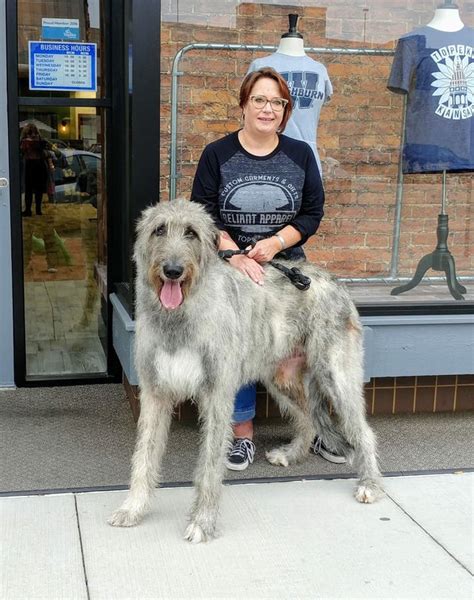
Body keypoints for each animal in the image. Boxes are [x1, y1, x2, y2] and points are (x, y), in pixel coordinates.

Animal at [109, 199, 384, 540]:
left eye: (191, 233)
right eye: (159, 230)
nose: (172, 270)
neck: (180, 315)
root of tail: (336, 282)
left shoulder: (217, 395)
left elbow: (210, 463)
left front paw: (202, 521)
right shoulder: (154, 393)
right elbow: (144, 455)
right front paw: (133, 508)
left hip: (336, 374)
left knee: (363, 431)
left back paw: (370, 484)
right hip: (280, 376)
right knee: (307, 417)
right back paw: (292, 454)